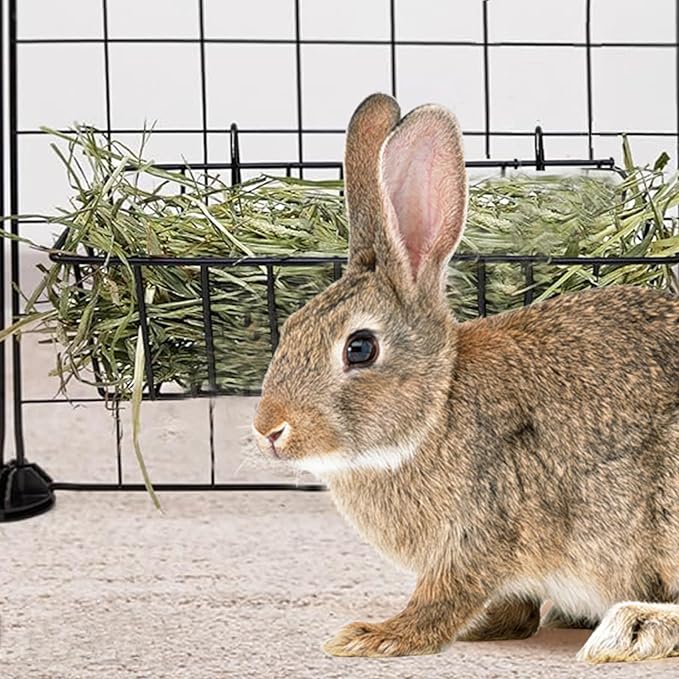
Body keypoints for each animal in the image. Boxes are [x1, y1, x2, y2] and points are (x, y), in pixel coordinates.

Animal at [252, 92, 679, 664]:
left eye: (359, 348)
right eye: (293, 325)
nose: (269, 429)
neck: (437, 410)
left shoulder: (480, 533)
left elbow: (444, 598)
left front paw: (376, 636)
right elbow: (512, 606)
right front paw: (491, 627)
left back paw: (630, 628)